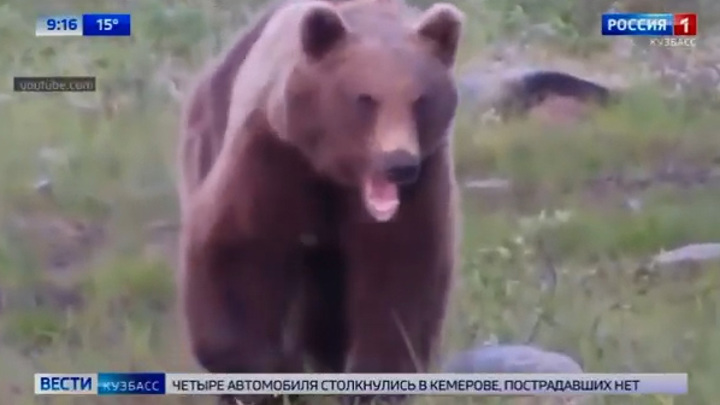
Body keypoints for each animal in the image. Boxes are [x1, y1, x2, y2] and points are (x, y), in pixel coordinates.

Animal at [177, 0, 464, 400]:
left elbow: (401, 274)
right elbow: (237, 250)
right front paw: (264, 372)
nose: (399, 164)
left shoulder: (421, 184)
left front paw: (372, 385)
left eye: (421, 99)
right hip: (207, 136)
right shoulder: (274, 157)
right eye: (366, 99)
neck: (336, 175)